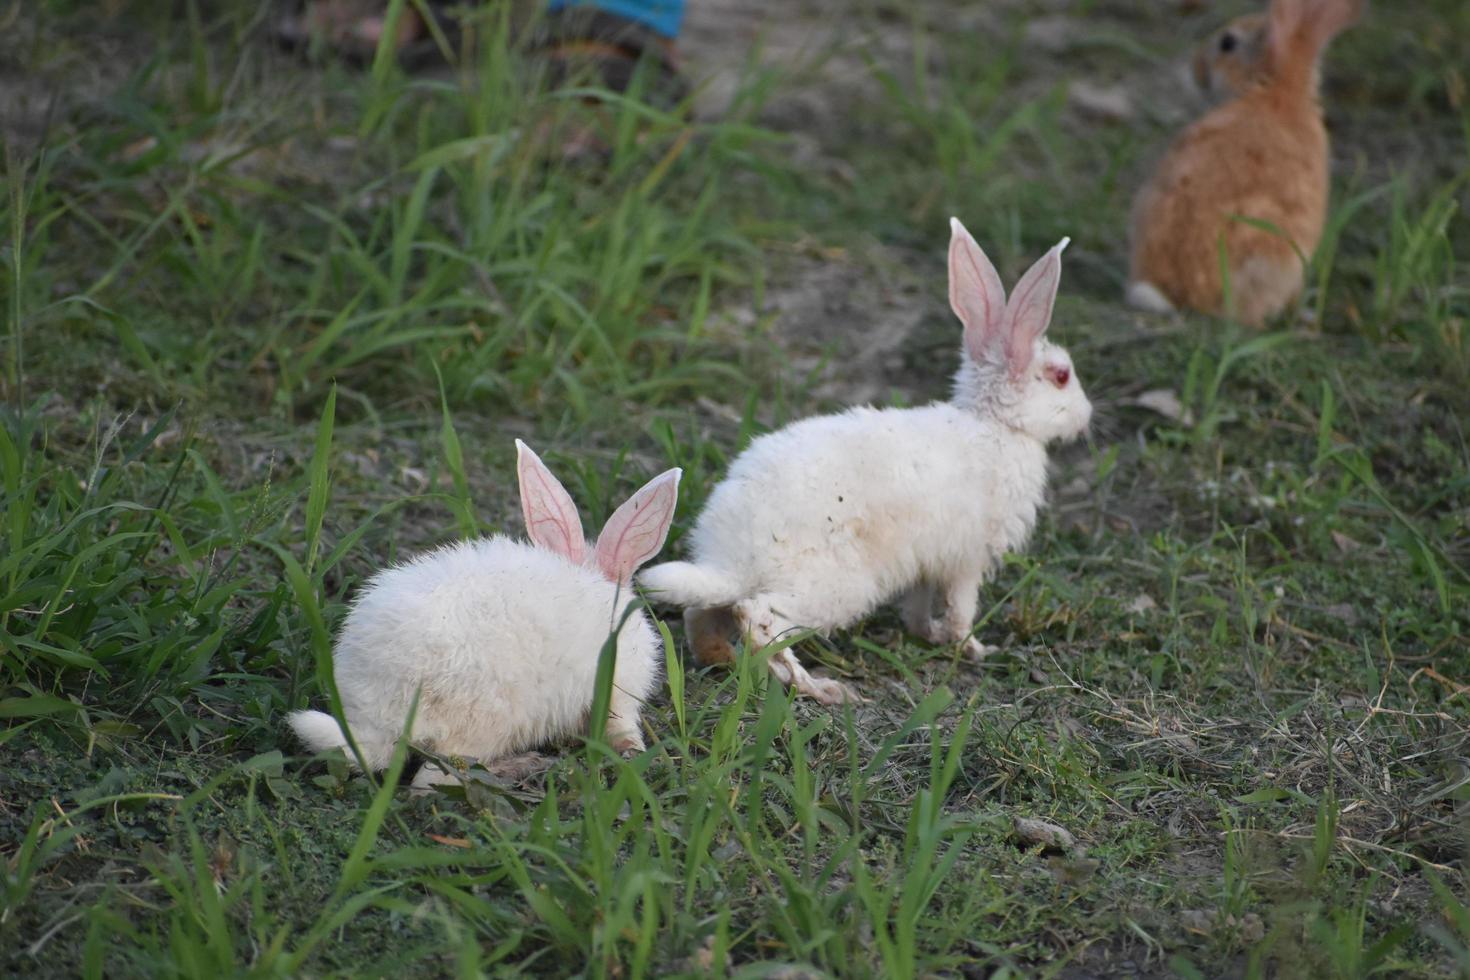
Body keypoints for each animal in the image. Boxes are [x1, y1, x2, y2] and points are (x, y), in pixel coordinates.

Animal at [286, 440, 682, 787]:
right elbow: (621, 727)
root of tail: (381, 717)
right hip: (482, 725)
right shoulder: (617, 695)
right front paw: (635, 751)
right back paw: (519, 766)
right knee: (431, 780)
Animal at [643, 218, 1093, 702]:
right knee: (758, 618)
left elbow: (919, 603)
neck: (996, 425)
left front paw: (926, 633)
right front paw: (972, 647)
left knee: (703, 614)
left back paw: (723, 659)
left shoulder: (926, 562)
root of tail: (731, 557)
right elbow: (961, 608)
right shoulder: (967, 558)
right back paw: (820, 688)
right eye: (1062, 376)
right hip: (835, 585)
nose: (1087, 414)